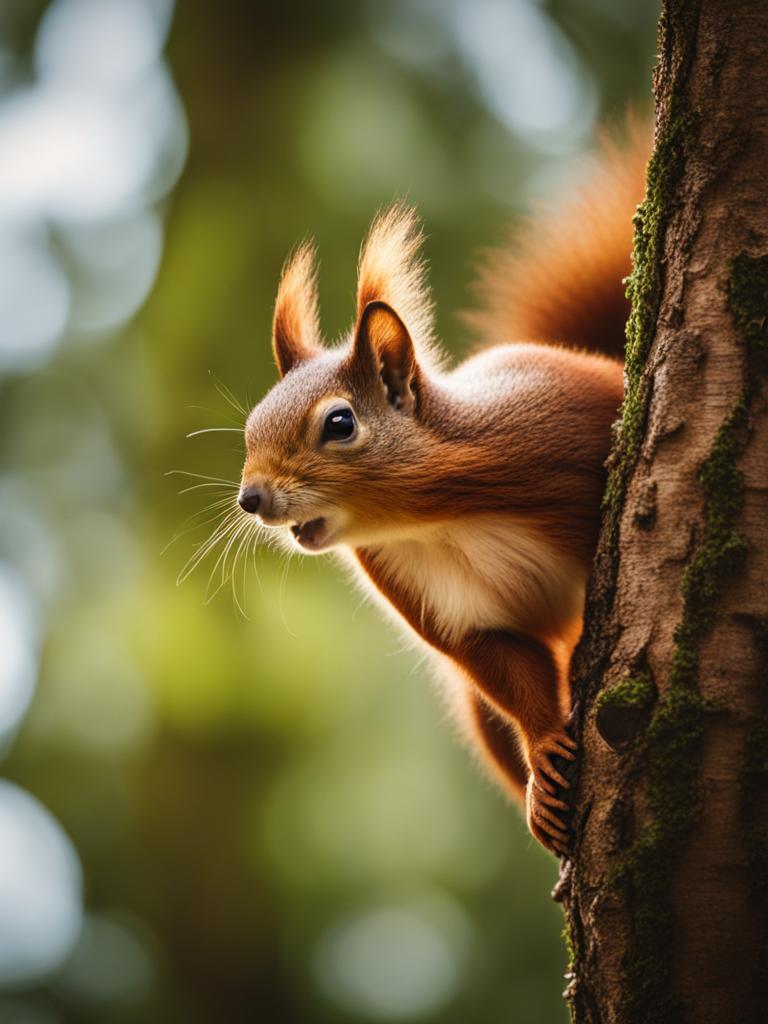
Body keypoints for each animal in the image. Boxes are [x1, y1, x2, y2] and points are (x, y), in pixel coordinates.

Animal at [234, 132, 651, 860]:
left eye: (339, 423)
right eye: (252, 424)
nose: (250, 499)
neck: (435, 519)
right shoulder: (441, 607)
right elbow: (508, 670)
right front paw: (544, 756)